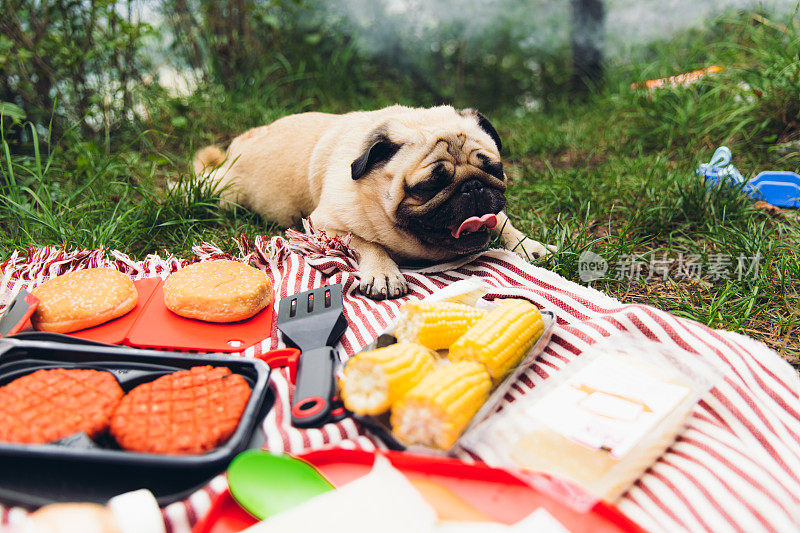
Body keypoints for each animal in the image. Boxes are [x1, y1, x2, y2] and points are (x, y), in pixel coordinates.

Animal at [194, 104, 556, 300]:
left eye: (493, 169)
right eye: (430, 185)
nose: (473, 188)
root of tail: (235, 147)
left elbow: (503, 220)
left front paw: (526, 245)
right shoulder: (323, 225)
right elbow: (367, 243)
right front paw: (383, 273)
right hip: (224, 195)